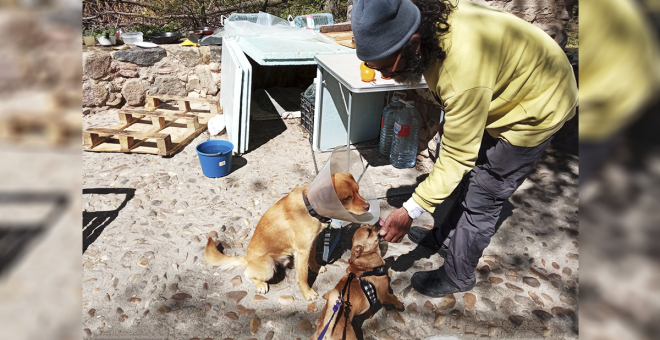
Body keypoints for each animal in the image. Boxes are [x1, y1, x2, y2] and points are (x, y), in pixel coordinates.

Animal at [205, 173, 372, 300]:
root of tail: (247, 258)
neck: (310, 208)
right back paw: (260, 284)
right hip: (268, 268)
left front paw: (316, 268)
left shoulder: (311, 244)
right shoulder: (303, 250)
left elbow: (312, 259)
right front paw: (307, 293)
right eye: (347, 198)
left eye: (358, 191)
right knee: (248, 274)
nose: (368, 206)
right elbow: (303, 276)